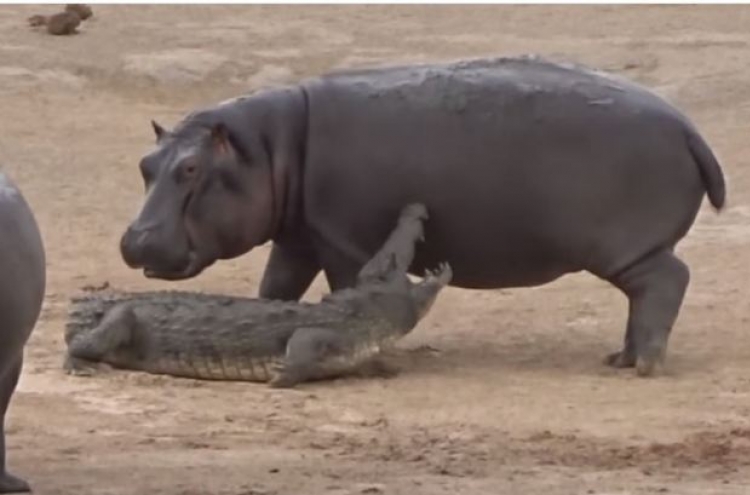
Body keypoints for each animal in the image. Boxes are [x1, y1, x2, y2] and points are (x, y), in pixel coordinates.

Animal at [120, 56, 724, 378]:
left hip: (628, 249)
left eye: (191, 168)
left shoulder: (341, 241)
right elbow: (276, 289)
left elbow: (343, 292)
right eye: (146, 164)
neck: (269, 149)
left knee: (667, 281)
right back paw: (620, 358)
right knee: (646, 295)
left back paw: (644, 365)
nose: (133, 241)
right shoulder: (300, 236)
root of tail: (690, 128)